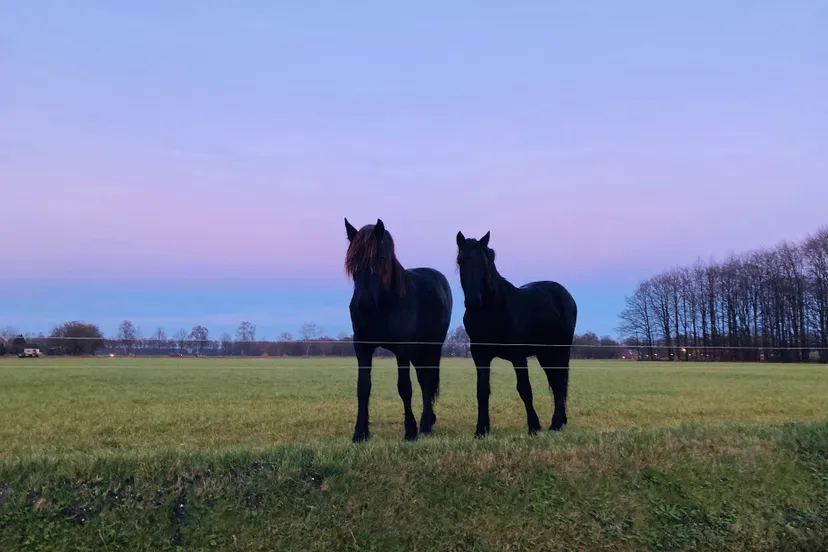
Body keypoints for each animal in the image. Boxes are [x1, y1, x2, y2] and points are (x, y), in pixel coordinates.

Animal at [344, 217, 453, 442]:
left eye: (381, 260)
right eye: (352, 262)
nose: (364, 305)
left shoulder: (402, 349)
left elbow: (404, 387)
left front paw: (410, 431)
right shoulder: (362, 348)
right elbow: (363, 387)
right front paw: (360, 432)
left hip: (432, 348)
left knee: (428, 381)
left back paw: (425, 425)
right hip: (418, 352)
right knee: (424, 380)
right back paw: (429, 421)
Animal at [455, 230, 578, 437]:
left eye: (483, 263)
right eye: (460, 262)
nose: (472, 302)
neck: (493, 311)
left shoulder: (518, 355)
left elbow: (524, 389)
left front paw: (534, 427)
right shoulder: (480, 356)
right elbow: (482, 390)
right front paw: (481, 429)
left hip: (560, 350)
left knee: (559, 383)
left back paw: (555, 424)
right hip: (545, 354)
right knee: (555, 382)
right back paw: (560, 421)